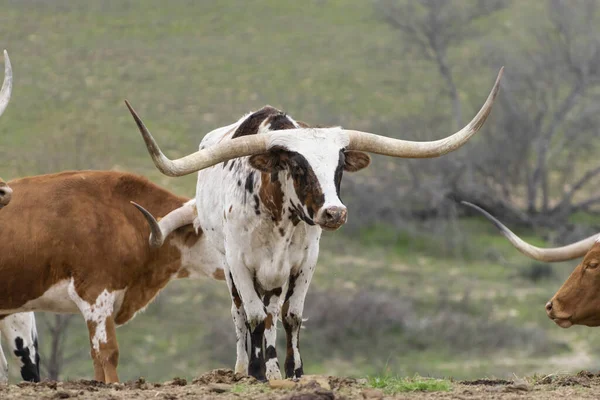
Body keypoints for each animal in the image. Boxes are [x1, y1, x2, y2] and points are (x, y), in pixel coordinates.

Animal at [127, 67, 506, 380]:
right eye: (297, 166)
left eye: (339, 167)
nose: (334, 213)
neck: (276, 216)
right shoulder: (239, 262)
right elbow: (252, 315)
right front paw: (255, 372)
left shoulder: (304, 262)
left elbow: (291, 316)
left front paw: (292, 371)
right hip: (230, 268)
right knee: (241, 315)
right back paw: (242, 368)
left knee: (272, 314)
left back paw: (273, 367)